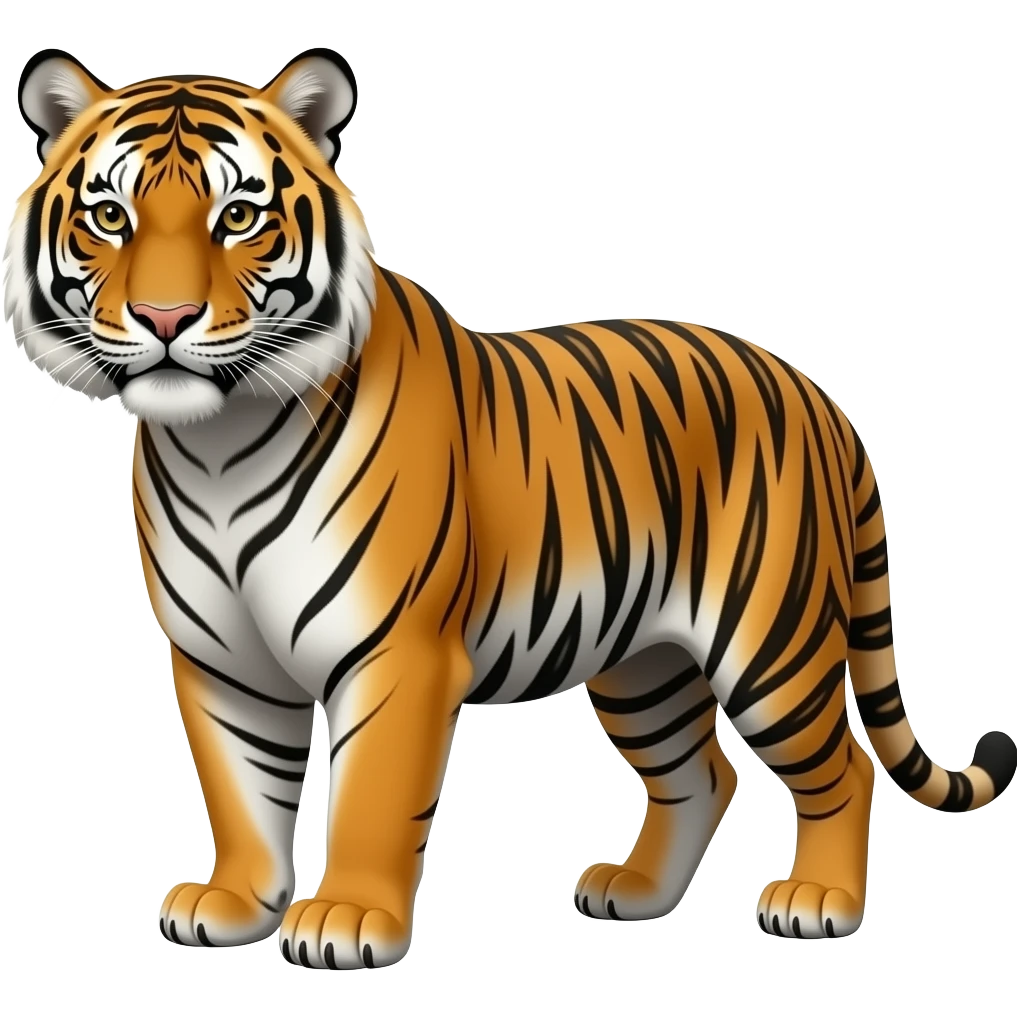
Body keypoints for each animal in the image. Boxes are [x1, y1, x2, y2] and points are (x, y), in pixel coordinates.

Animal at [4, 45, 1015, 971]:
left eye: (239, 217)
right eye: (109, 217)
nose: (164, 321)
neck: (214, 444)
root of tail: (816, 394)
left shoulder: (397, 652)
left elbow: (370, 795)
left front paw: (345, 920)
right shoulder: (221, 659)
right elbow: (239, 787)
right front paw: (233, 903)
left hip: (772, 643)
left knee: (842, 767)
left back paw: (818, 901)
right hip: (641, 660)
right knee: (701, 770)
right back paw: (633, 891)